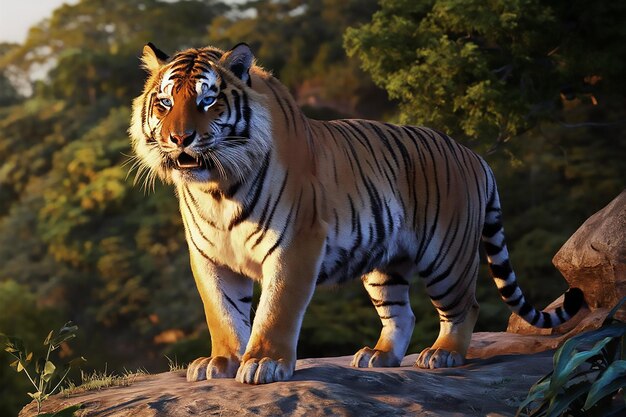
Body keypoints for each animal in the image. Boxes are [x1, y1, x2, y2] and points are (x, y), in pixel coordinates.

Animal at [129, 42, 584, 384]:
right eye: (165, 102)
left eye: (207, 100)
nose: (180, 138)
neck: (216, 189)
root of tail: (474, 155)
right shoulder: (208, 256)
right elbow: (222, 313)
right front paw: (220, 363)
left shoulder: (296, 244)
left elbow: (276, 310)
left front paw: (264, 364)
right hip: (386, 264)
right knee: (403, 313)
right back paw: (378, 357)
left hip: (446, 256)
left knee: (464, 306)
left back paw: (443, 354)